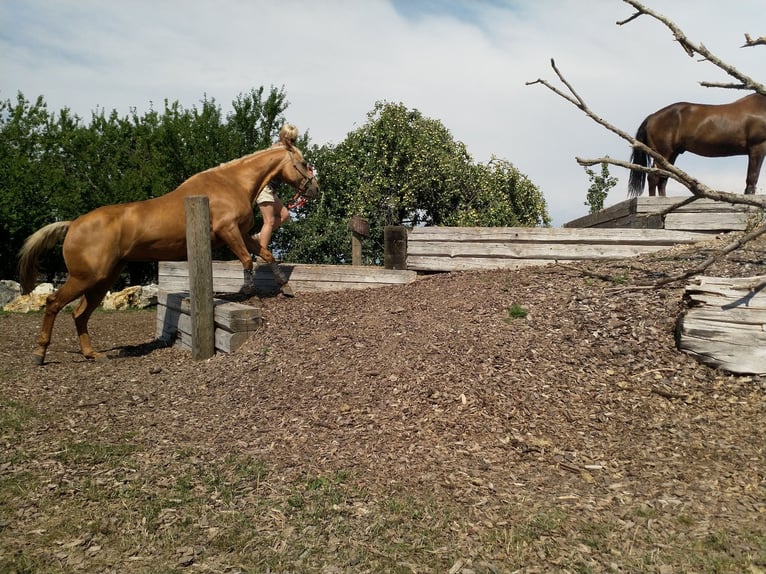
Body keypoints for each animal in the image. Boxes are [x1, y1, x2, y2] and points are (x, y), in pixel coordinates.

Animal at [18, 142, 319, 365]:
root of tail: (72, 225)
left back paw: (92, 354)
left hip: (102, 280)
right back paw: (39, 354)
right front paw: (247, 292)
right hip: (85, 277)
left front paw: (286, 287)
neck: (231, 183)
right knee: (54, 303)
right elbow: (247, 260)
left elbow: (266, 255)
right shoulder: (229, 231)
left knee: (79, 314)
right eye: (304, 163)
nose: (315, 189)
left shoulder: (242, 234)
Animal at [628, 93, 766, 196]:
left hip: (671, 155)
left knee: (662, 179)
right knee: (653, 177)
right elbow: (752, 178)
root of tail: (652, 117)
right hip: (662, 153)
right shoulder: (757, 148)